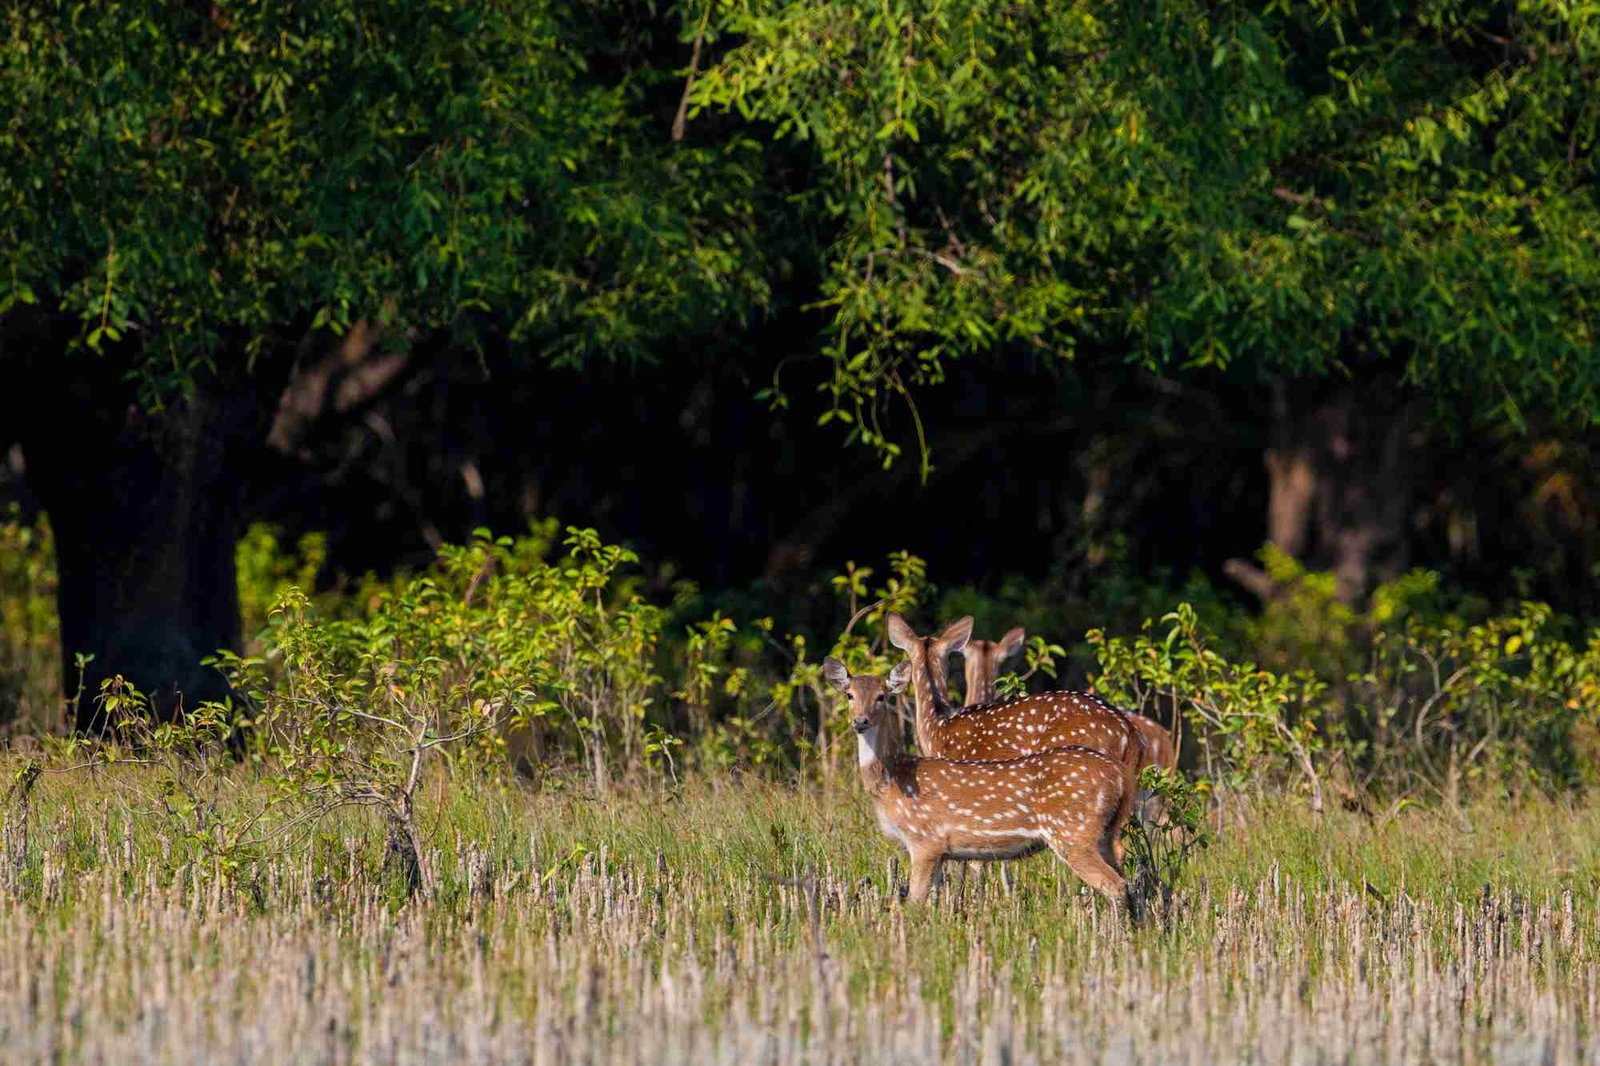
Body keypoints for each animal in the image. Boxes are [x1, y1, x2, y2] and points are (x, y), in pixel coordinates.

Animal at [825, 656, 1139, 902]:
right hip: (1104, 831)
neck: (892, 781)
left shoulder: (925, 839)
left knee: (1115, 885)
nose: (860, 721)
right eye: (849, 694)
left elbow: (914, 903)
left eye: (882, 696)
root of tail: (1121, 774)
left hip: (1074, 832)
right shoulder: (940, 852)